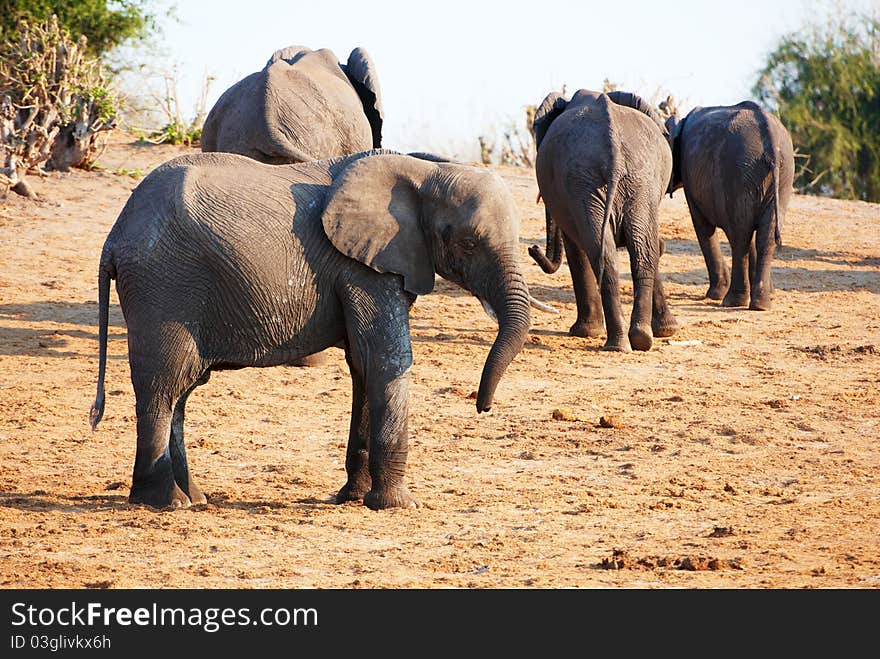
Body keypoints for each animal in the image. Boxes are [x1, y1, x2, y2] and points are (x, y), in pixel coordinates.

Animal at [93, 150, 540, 510]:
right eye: (467, 243)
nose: (483, 407)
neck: (423, 170)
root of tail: (113, 238)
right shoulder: (362, 267)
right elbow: (385, 359)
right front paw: (398, 506)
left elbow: (362, 365)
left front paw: (354, 499)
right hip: (163, 286)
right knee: (163, 385)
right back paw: (165, 503)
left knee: (181, 392)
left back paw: (194, 498)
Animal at [528, 91, 680, 356]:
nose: (532, 249)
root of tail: (613, 150)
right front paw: (666, 330)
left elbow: (575, 247)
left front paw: (583, 333)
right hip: (627, 181)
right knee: (637, 252)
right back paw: (634, 341)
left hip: (594, 181)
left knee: (608, 252)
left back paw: (623, 342)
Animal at [668, 101, 796, 312]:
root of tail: (770, 140)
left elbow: (703, 227)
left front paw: (714, 295)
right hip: (780, 176)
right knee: (764, 235)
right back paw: (761, 304)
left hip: (738, 172)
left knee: (740, 234)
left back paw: (732, 301)